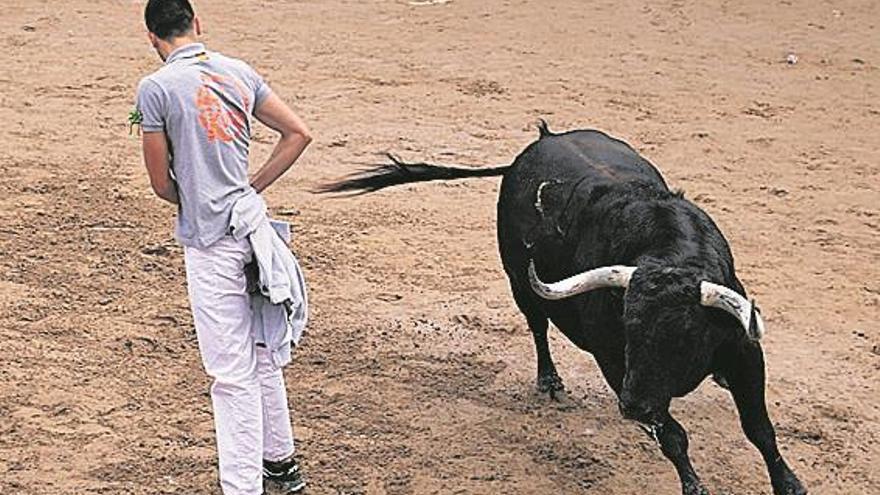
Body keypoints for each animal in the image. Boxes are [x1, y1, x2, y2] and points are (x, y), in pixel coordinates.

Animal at [322, 123, 804, 495]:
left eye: (684, 336)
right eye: (628, 328)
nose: (632, 408)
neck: (669, 256)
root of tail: (540, 141)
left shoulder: (743, 351)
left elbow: (760, 430)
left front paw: (790, 484)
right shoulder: (615, 362)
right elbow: (674, 437)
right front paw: (693, 484)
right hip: (520, 285)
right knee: (538, 327)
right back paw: (550, 381)